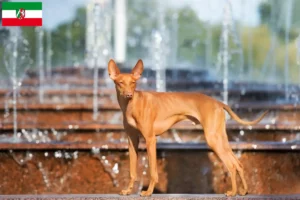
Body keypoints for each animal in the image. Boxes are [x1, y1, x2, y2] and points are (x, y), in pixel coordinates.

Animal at [107, 59, 268, 197]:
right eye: (120, 83)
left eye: (133, 83)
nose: (129, 94)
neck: (132, 105)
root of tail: (218, 102)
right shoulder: (132, 140)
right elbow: (132, 171)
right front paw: (128, 190)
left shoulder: (150, 139)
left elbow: (153, 171)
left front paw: (148, 192)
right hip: (220, 138)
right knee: (238, 163)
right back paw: (243, 191)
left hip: (212, 139)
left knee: (231, 165)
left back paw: (232, 192)